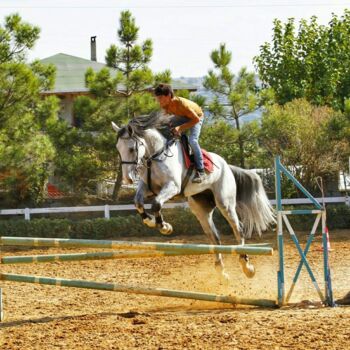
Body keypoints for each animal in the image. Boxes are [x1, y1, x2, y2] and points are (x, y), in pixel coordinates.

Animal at [112, 113, 276, 280]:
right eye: (118, 149)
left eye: (131, 149)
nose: (127, 179)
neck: (155, 156)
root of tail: (226, 165)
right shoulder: (147, 187)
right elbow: (138, 203)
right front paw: (151, 222)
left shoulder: (172, 187)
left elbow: (156, 204)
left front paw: (165, 227)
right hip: (201, 209)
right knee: (214, 236)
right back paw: (221, 270)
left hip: (225, 203)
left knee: (238, 229)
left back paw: (246, 266)